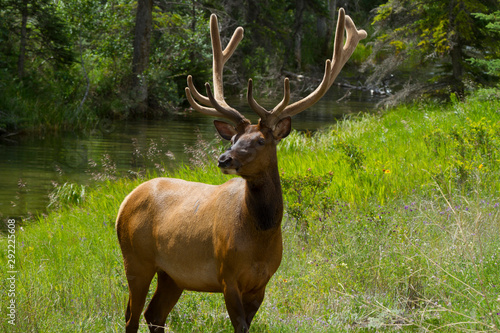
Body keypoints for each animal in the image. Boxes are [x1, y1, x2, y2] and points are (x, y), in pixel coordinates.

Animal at [117, 8, 368, 332]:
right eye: (233, 139)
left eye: (261, 140)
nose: (224, 159)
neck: (259, 240)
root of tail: (125, 202)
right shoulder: (227, 276)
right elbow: (239, 326)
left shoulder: (262, 283)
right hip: (136, 260)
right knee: (132, 317)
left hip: (173, 274)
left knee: (154, 314)